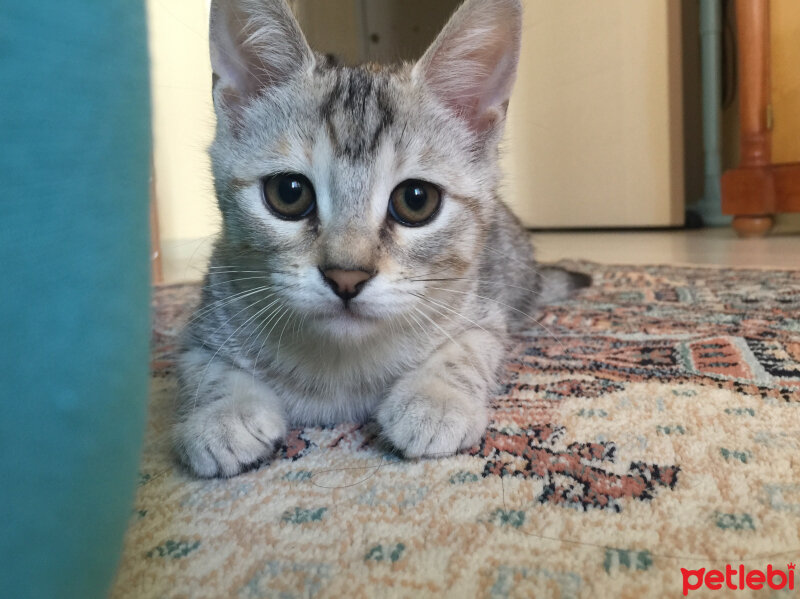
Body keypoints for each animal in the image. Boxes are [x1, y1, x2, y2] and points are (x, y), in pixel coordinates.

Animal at [175, 0, 588, 478]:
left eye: (416, 200)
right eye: (289, 193)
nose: (346, 277)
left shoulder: (485, 311)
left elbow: (468, 349)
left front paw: (434, 399)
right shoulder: (205, 318)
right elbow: (205, 368)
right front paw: (223, 414)